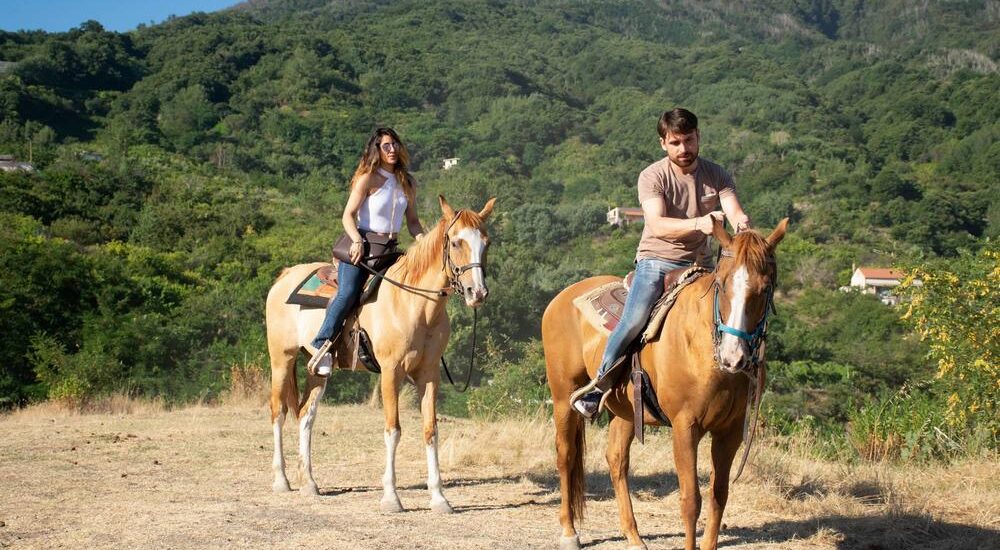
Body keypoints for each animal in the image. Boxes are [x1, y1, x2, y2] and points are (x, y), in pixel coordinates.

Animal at [266, 196, 496, 516]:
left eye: (486, 242)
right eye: (456, 242)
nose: (478, 292)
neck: (414, 304)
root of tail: (286, 276)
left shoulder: (429, 375)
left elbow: (430, 430)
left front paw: (439, 499)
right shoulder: (391, 372)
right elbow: (393, 430)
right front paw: (391, 498)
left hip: (318, 371)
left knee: (305, 415)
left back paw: (309, 483)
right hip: (282, 359)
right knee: (278, 412)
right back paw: (281, 480)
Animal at [544, 219, 784, 550]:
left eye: (764, 289)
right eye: (721, 285)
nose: (733, 357)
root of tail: (560, 298)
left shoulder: (730, 431)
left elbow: (718, 496)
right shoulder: (685, 427)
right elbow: (691, 500)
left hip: (626, 411)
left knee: (616, 459)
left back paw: (633, 536)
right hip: (563, 396)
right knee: (566, 456)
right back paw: (569, 532)